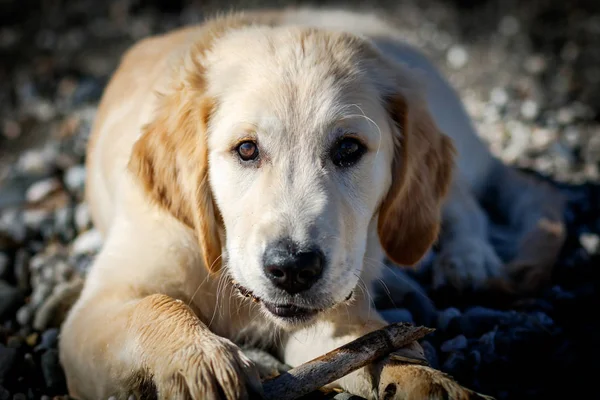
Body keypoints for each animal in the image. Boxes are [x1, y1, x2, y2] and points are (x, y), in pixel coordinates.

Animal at [58, 7, 564, 400]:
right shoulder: (92, 312)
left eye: (349, 149)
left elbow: (376, 343)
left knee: (461, 205)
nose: (293, 269)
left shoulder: (333, 313)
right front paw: (201, 363)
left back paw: (468, 260)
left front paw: (428, 381)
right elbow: (157, 306)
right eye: (246, 149)